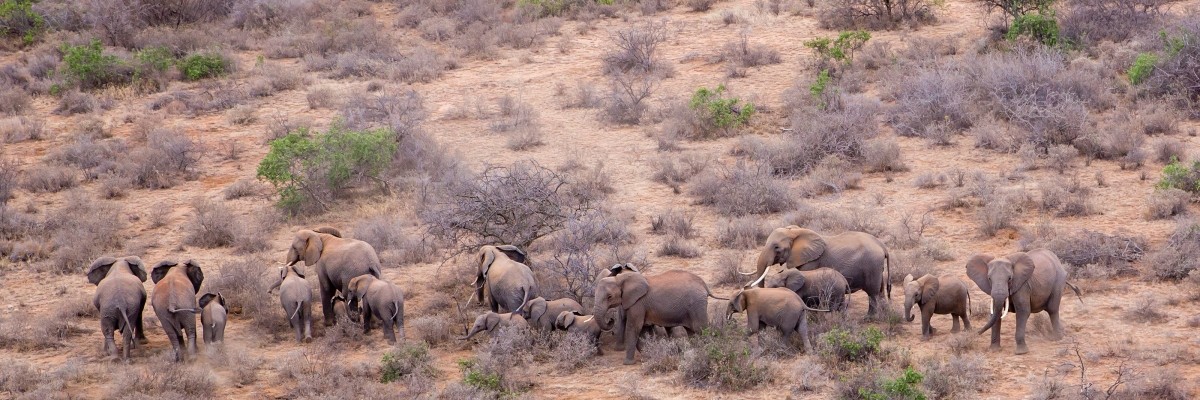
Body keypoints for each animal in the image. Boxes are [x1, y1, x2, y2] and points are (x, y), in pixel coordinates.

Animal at [590, 263, 720, 362]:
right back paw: (694, 351)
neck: (620, 279)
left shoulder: (638, 303)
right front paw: (647, 355)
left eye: (609, 297)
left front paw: (628, 362)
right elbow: (642, 330)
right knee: (692, 331)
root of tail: (705, 286)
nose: (610, 320)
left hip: (697, 305)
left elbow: (634, 327)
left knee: (701, 329)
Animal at [739, 225, 892, 317]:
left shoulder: (811, 262)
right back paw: (884, 314)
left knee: (872, 293)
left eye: (777, 247)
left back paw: (869, 318)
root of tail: (882, 246)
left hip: (872, 265)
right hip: (877, 267)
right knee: (880, 290)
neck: (797, 231)